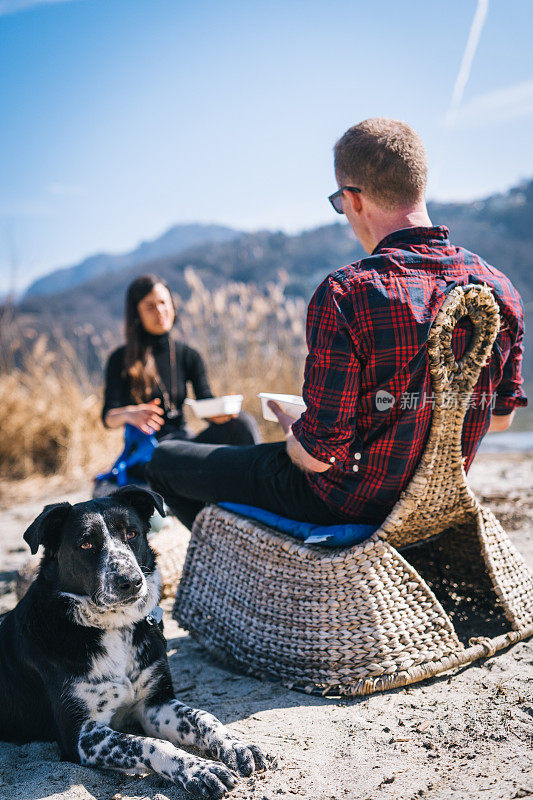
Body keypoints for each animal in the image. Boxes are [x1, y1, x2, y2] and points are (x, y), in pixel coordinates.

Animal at [0, 484, 266, 796]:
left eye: (131, 534)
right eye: (85, 544)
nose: (131, 581)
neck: (114, 627)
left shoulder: (154, 705)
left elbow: (204, 717)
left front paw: (236, 745)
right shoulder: (82, 736)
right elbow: (152, 744)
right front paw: (200, 769)